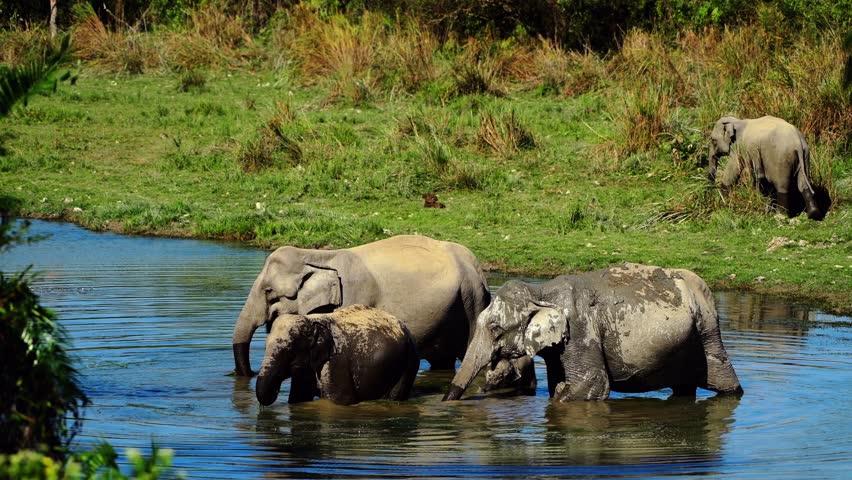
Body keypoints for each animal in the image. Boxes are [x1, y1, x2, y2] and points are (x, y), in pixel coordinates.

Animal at [233, 234, 533, 392]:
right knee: (443, 360)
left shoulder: (356, 294)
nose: (250, 373)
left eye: (269, 291)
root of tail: (478, 266)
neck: (318, 256)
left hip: (471, 300)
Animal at [255, 305, 419, 406]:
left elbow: (340, 400)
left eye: (289, 351)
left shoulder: (336, 360)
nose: (276, 390)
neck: (311, 320)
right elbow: (299, 397)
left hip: (408, 362)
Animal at [443, 263, 744, 402]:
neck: (540, 291)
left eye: (496, 329)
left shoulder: (580, 331)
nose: (447, 400)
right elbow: (559, 383)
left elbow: (591, 385)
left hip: (706, 332)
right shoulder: (559, 347)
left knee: (725, 383)